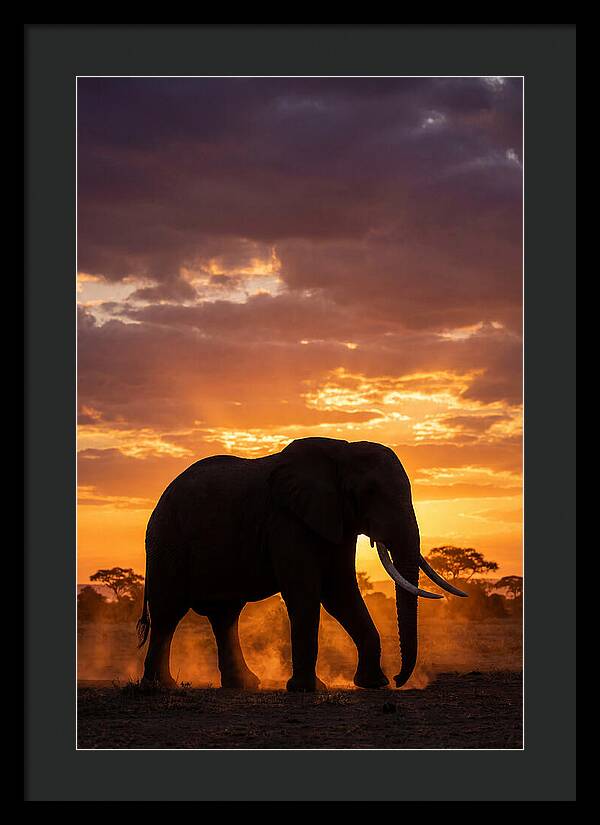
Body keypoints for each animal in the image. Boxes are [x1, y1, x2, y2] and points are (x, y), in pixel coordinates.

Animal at [137, 437, 467, 692]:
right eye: (369, 492)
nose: (399, 679)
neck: (342, 451)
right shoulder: (286, 520)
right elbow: (306, 593)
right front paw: (307, 689)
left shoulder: (336, 519)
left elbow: (340, 592)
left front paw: (374, 684)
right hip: (167, 541)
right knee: (169, 613)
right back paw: (160, 686)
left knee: (225, 615)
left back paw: (244, 684)